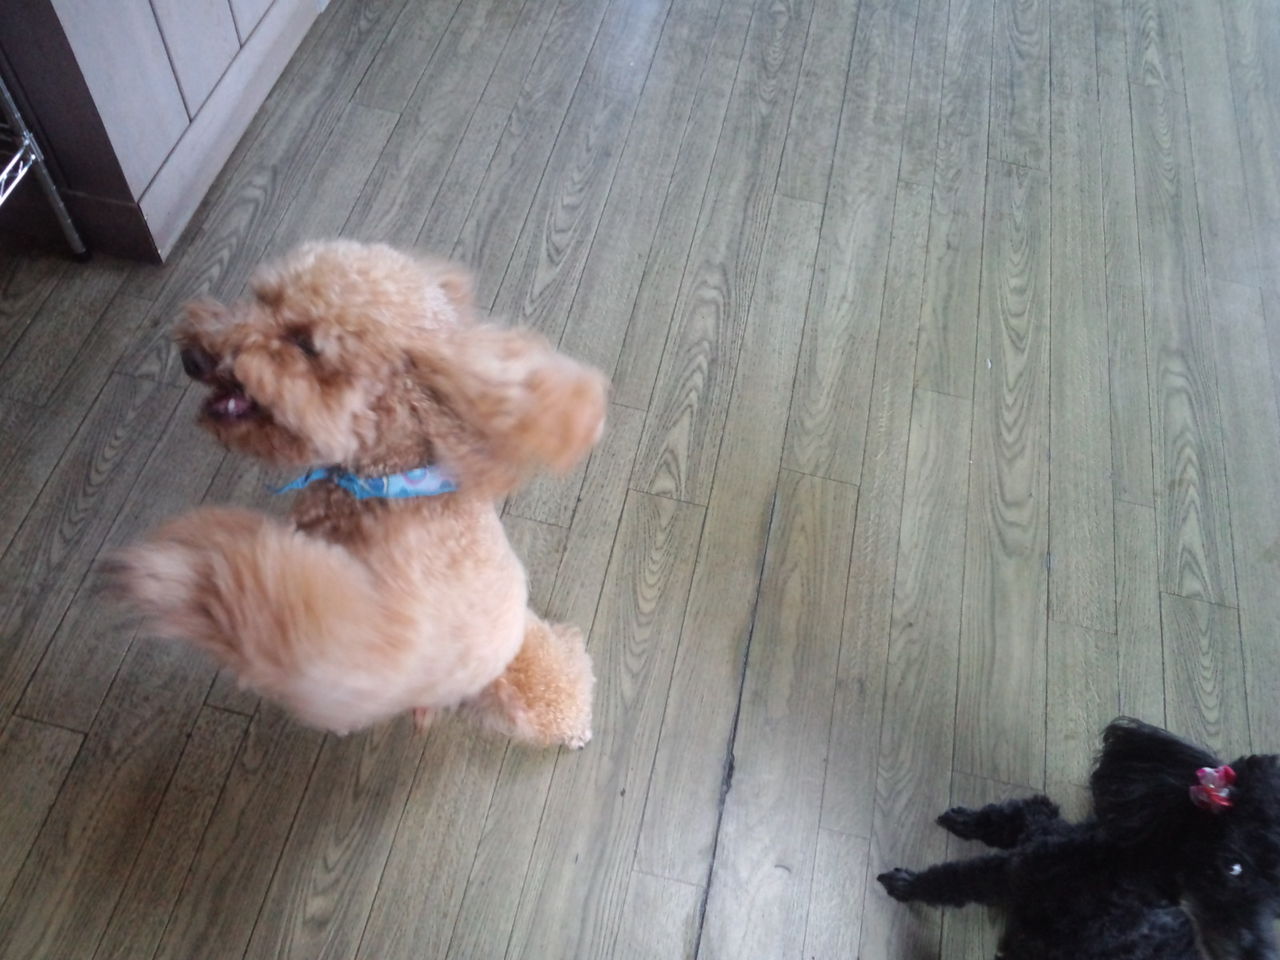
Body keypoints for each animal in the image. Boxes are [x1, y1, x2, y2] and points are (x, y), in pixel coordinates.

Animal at [107, 240, 606, 747]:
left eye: (307, 344)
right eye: (262, 299)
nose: (192, 357)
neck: (382, 486)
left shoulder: (365, 638)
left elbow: (271, 599)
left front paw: (183, 568)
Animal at [878, 718, 1280, 959]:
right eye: (1232, 867)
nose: (1259, 955)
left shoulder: (1017, 876)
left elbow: (955, 880)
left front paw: (904, 884)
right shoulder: (1043, 848)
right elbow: (1016, 816)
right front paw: (961, 822)